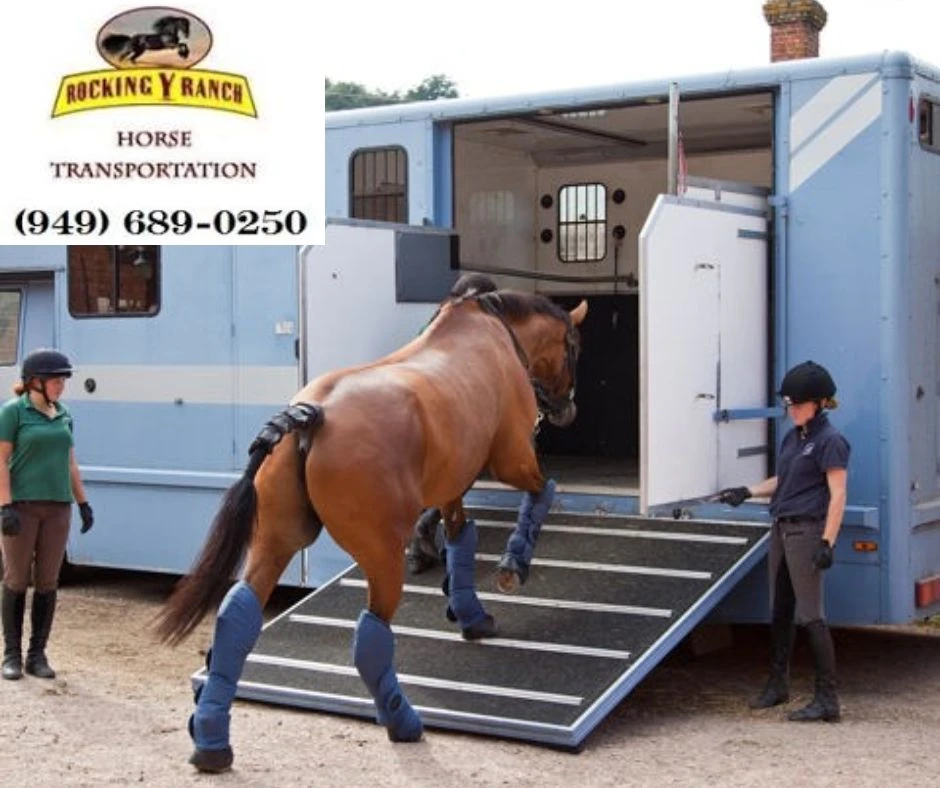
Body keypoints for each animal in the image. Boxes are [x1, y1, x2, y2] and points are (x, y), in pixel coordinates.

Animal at [154, 288, 587, 773]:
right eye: (574, 348)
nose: (567, 408)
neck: (493, 332)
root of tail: (309, 414)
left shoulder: (452, 487)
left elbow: (460, 538)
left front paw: (471, 615)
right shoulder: (512, 460)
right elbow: (543, 491)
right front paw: (515, 562)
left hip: (276, 542)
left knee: (237, 616)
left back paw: (211, 740)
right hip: (381, 554)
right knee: (371, 635)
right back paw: (402, 720)